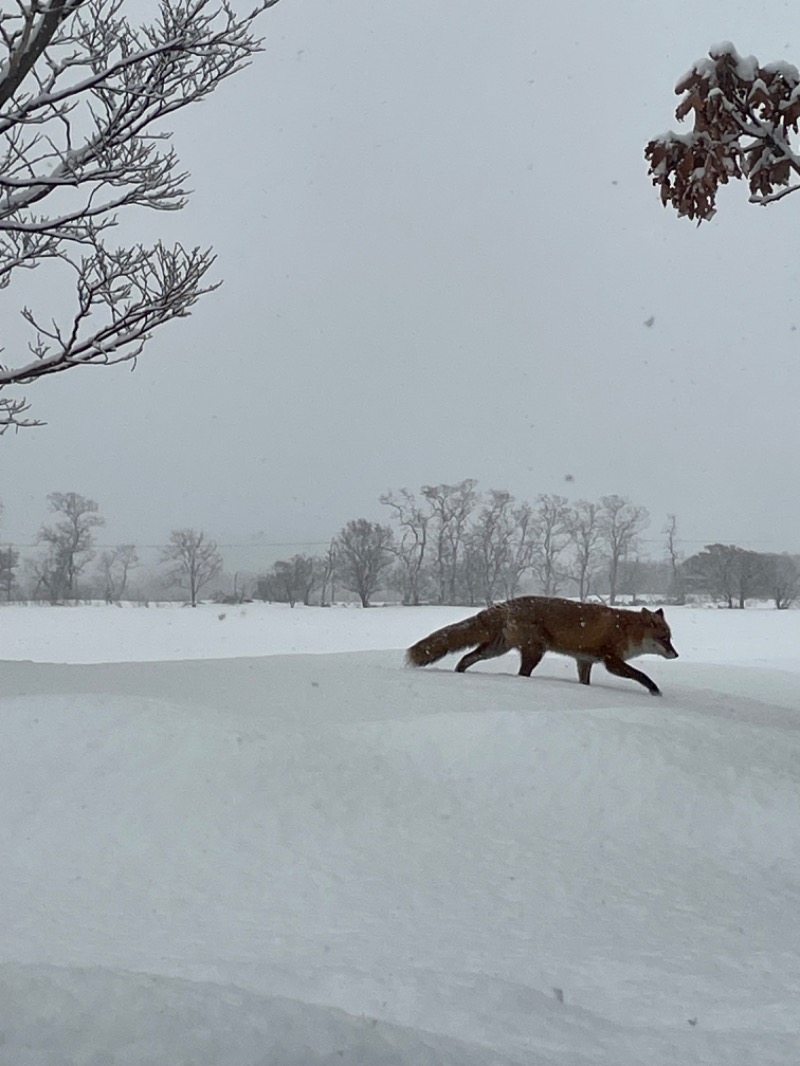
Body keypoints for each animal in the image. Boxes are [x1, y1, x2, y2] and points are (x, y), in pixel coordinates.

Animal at [409, 596, 678, 695]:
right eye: (664, 638)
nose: (676, 655)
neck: (626, 630)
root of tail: (506, 604)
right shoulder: (611, 661)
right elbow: (640, 674)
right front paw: (655, 691)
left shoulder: (585, 661)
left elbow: (585, 682)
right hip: (534, 651)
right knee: (521, 674)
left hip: (495, 649)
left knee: (466, 658)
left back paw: (459, 675)